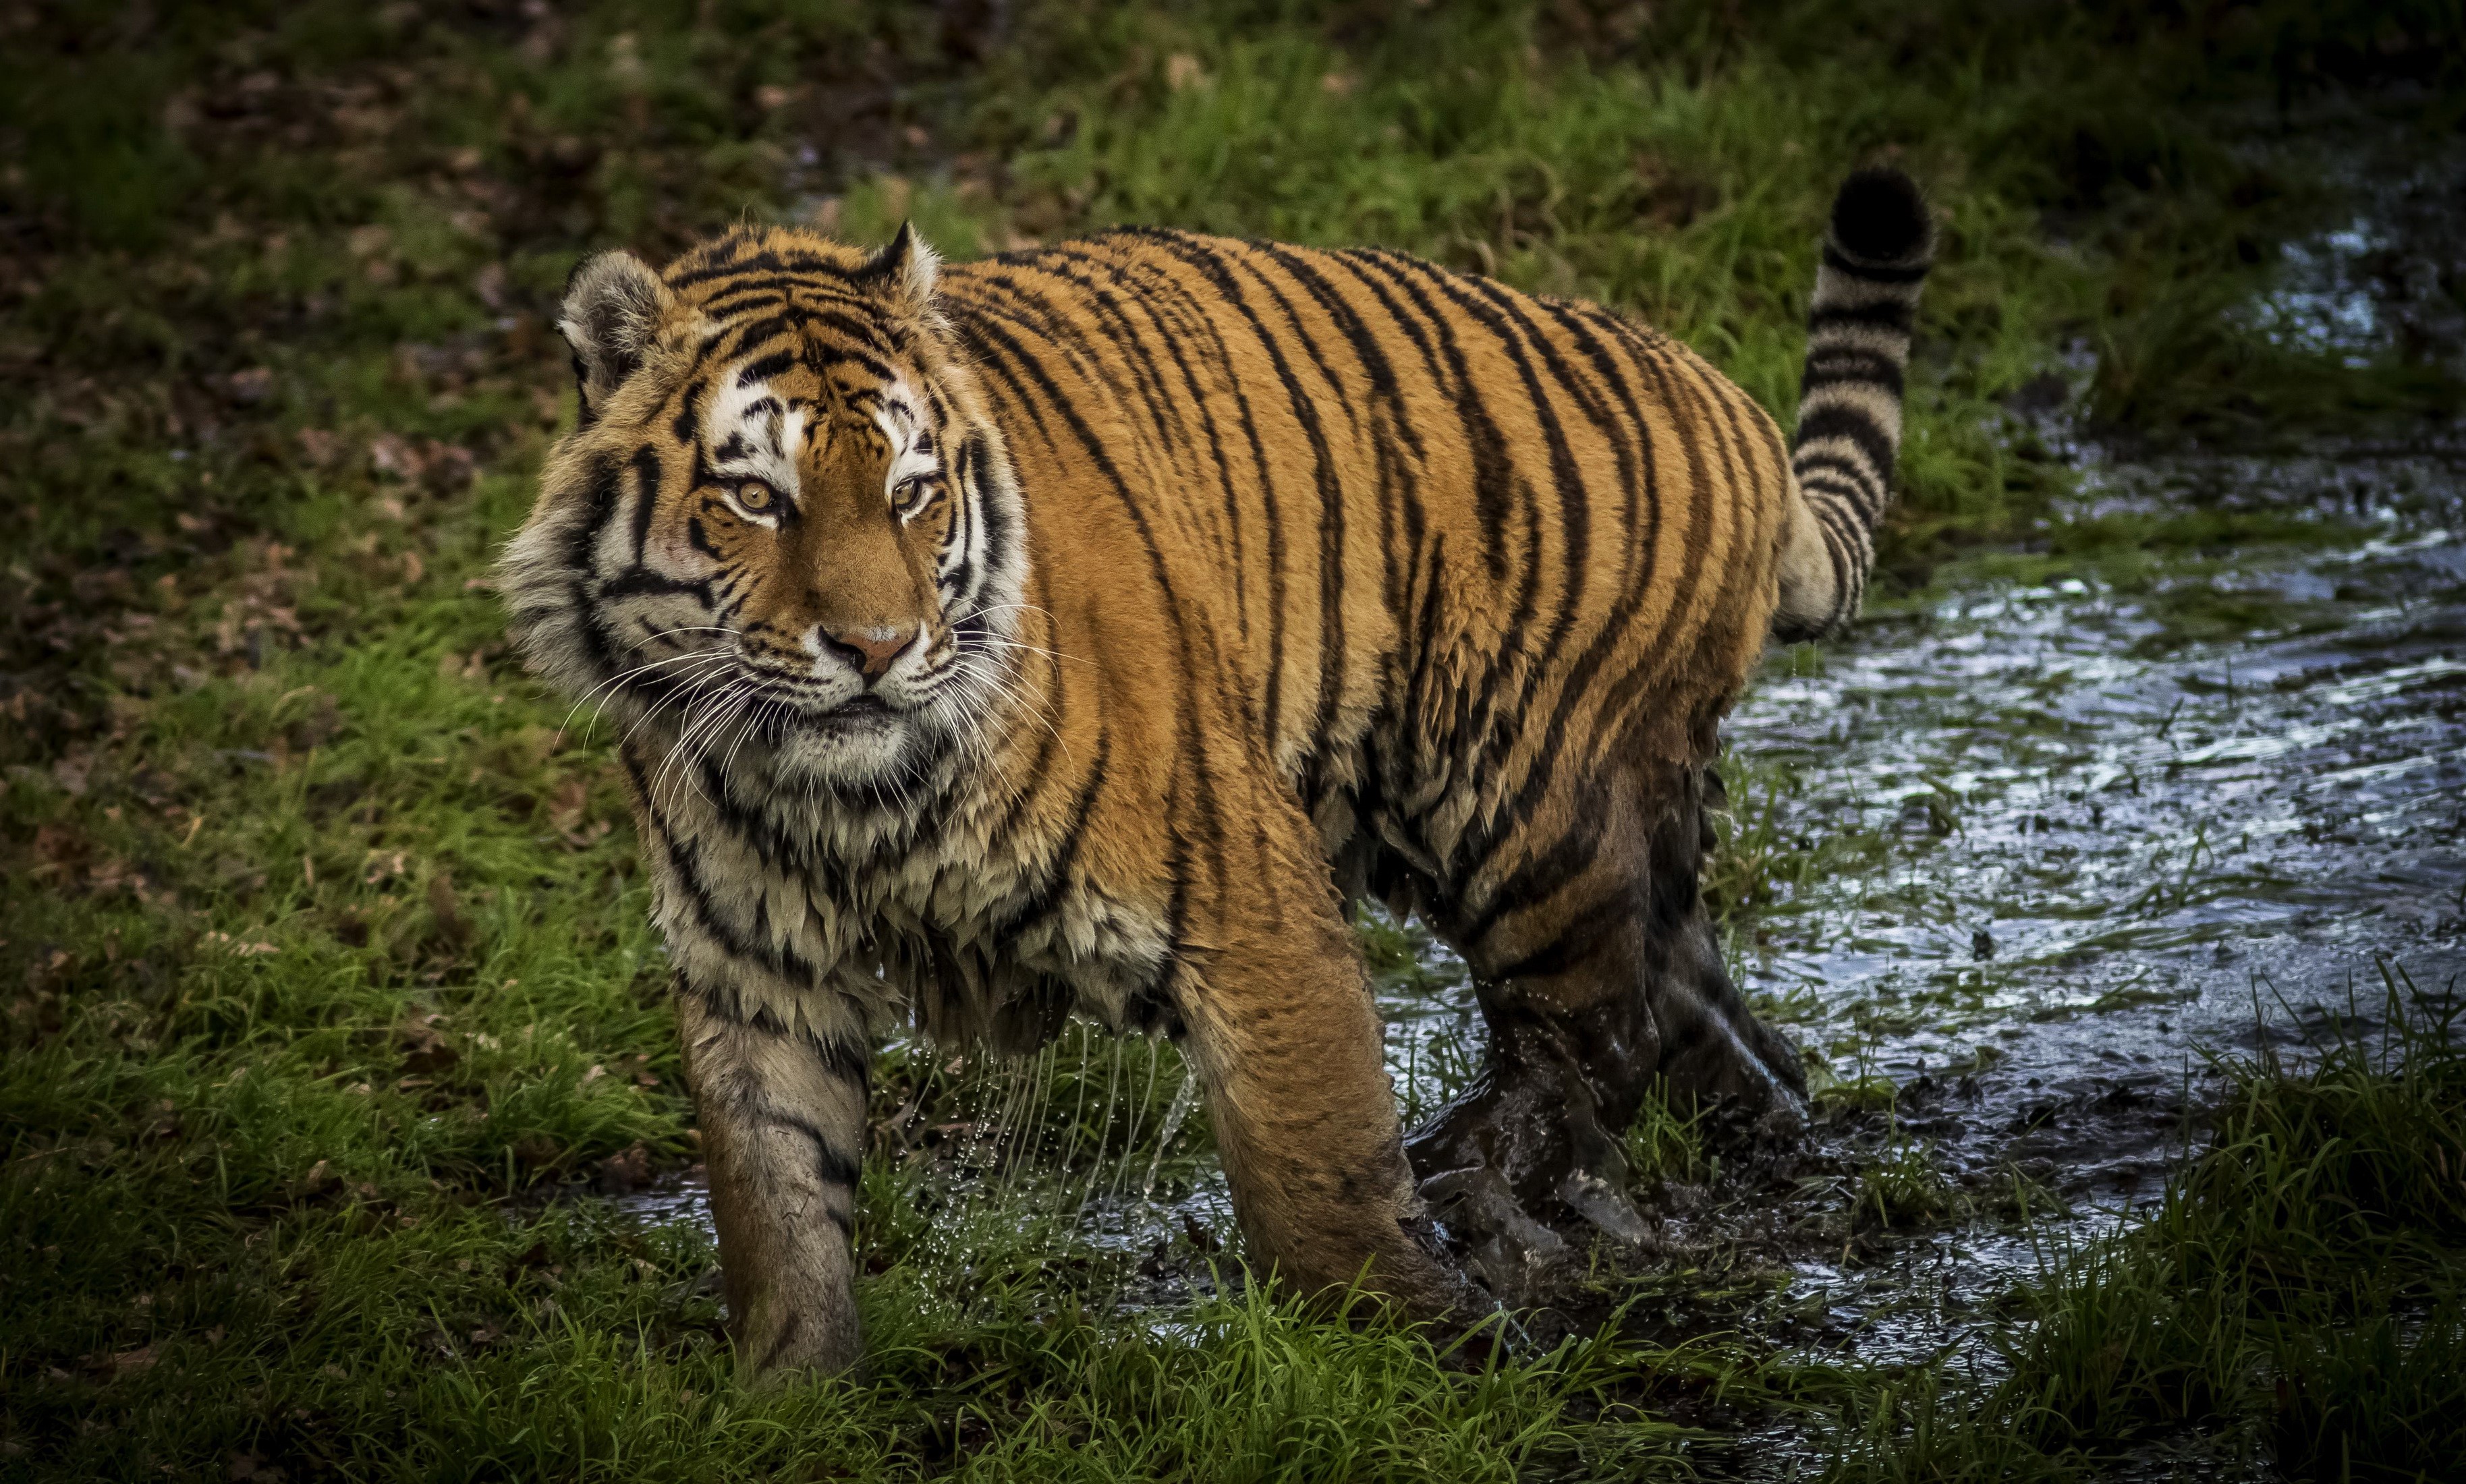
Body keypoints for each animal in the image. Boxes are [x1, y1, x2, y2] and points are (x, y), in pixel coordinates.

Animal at [500, 167, 1933, 1378]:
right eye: (759, 499)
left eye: (911, 492)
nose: (878, 647)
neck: (845, 799)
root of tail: (1727, 404)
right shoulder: (752, 967)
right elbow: (777, 1205)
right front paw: (796, 1400)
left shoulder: (1250, 903)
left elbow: (1318, 1176)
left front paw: (1434, 1349)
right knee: (1708, 1022)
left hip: (1520, 800)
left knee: (1598, 1031)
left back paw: (1479, 1176)